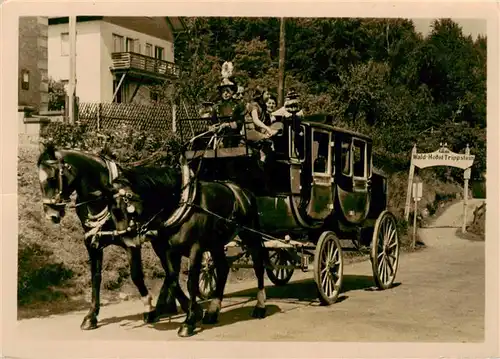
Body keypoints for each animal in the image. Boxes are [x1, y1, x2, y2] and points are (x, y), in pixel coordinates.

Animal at [35, 143, 176, 332]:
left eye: (51, 178)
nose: (51, 215)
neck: (106, 197)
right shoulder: (92, 244)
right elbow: (95, 278)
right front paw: (91, 316)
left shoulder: (132, 243)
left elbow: (136, 275)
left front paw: (149, 308)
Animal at [105, 162, 270, 338]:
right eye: (112, 211)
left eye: (128, 206)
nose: (127, 240)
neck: (179, 203)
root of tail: (245, 192)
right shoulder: (167, 250)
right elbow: (172, 278)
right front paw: (191, 312)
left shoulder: (195, 249)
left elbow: (191, 283)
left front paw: (188, 321)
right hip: (216, 244)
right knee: (223, 269)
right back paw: (213, 311)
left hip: (250, 236)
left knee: (259, 267)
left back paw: (260, 307)